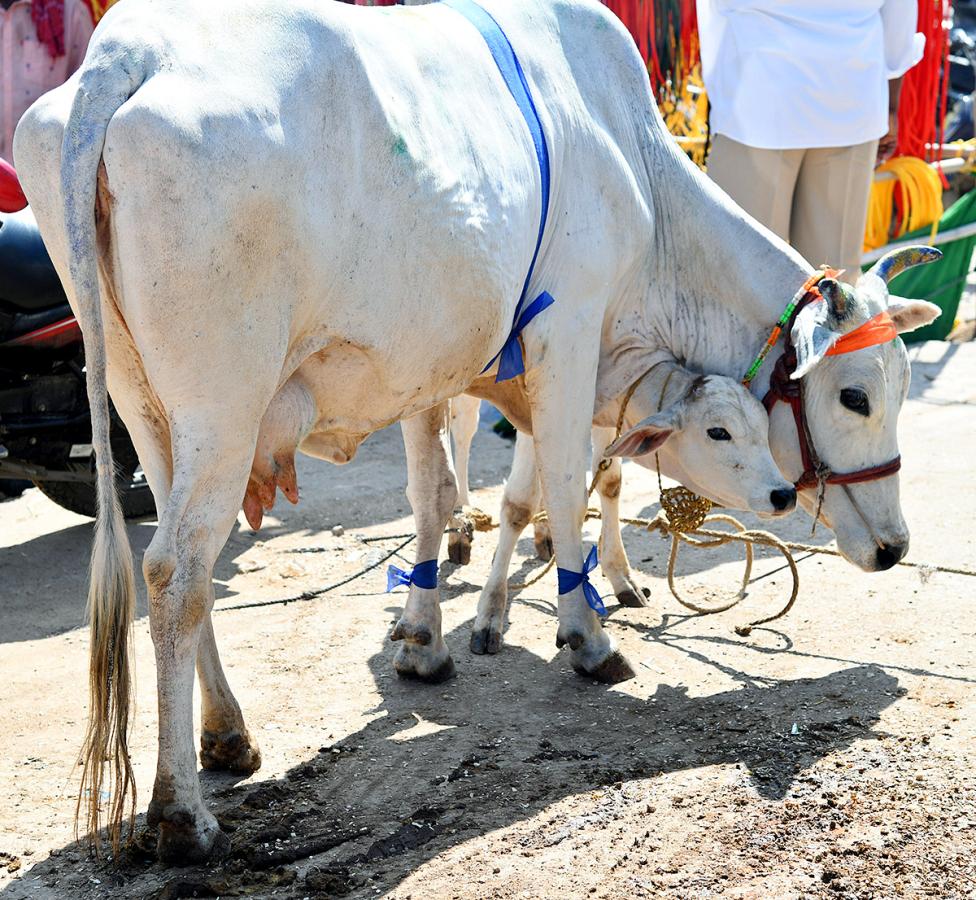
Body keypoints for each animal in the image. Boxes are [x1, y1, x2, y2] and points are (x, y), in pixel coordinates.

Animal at [15, 0, 936, 860]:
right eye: (855, 395)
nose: (895, 547)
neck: (642, 181)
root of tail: (129, 51)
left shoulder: (435, 370)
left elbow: (432, 499)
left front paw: (424, 642)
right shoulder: (567, 334)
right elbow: (561, 483)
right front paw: (587, 637)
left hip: (148, 409)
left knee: (181, 569)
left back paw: (228, 734)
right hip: (224, 407)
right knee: (176, 572)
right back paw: (180, 813)